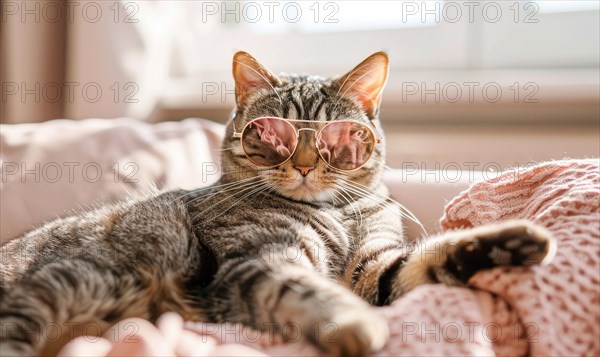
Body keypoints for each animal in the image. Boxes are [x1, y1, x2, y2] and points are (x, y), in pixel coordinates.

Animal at [0, 50, 552, 356]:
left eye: (338, 138)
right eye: (269, 135)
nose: (305, 164)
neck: (335, 214)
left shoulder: (376, 266)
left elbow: (428, 258)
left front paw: (511, 243)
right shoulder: (259, 258)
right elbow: (308, 289)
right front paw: (357, 325)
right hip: (56, 286)